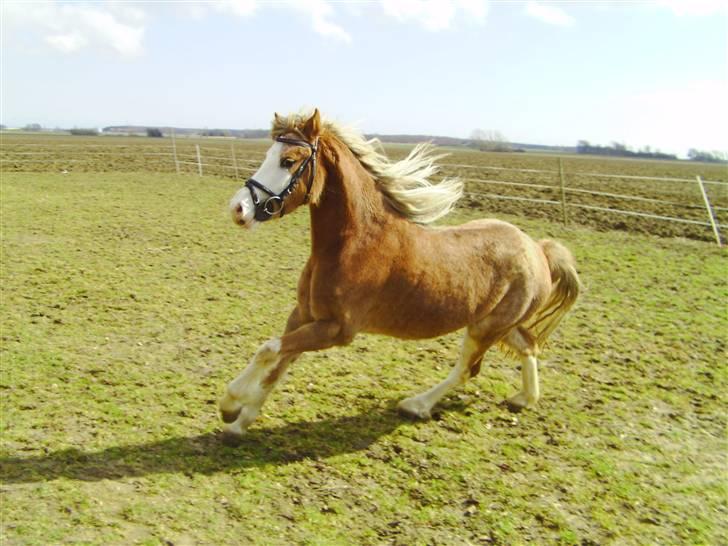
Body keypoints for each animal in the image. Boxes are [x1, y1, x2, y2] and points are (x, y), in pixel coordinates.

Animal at [219, 108, 584, 436]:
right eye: (268, 154)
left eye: (289, 161)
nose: (238, 209)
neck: (352, 245)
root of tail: (537, 249)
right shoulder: (304, 316)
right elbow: (277, 363)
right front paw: (240, 421)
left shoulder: (336, 329)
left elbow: (268, 350)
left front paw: (231, 404)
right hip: (498, 324)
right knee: (528, 346)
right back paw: (523, 399)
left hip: (485, 329)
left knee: (468, 370)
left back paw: (416, 405)